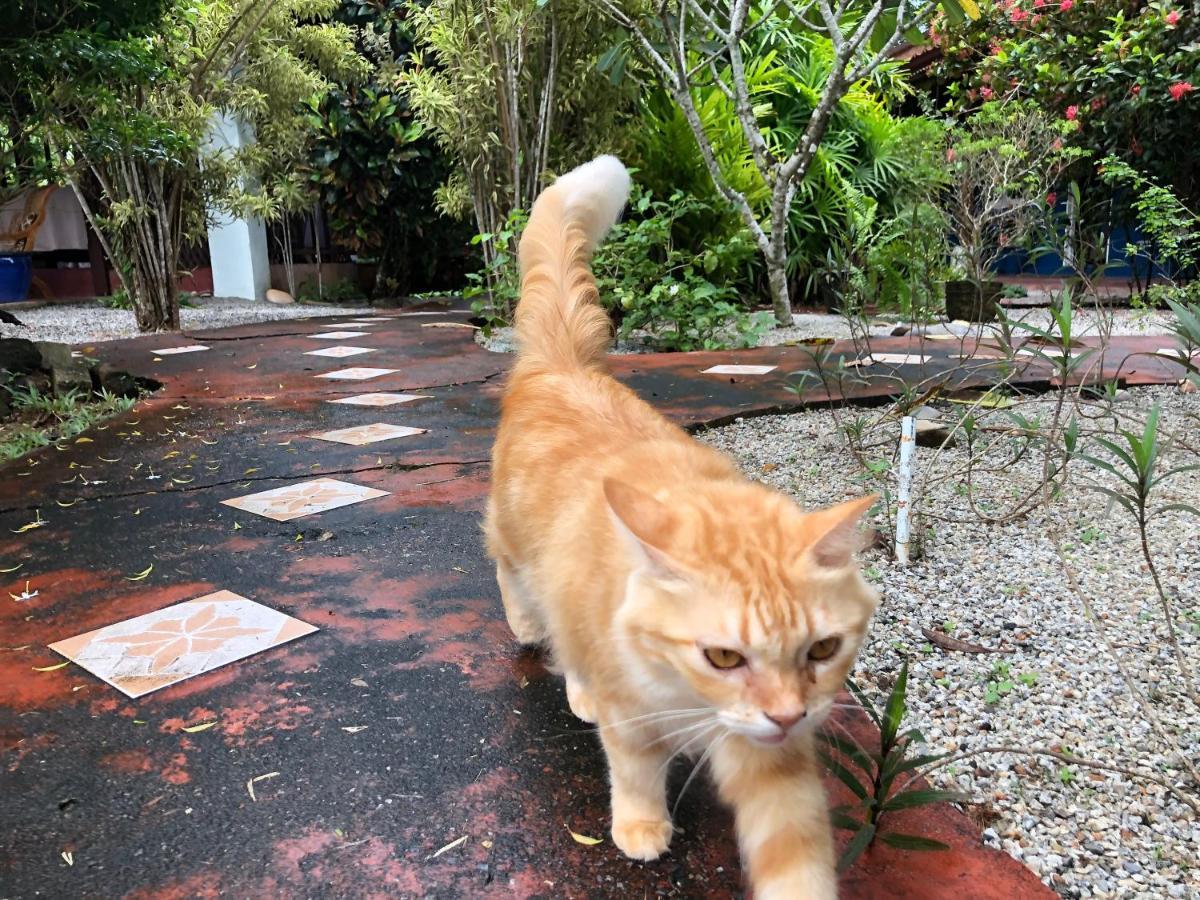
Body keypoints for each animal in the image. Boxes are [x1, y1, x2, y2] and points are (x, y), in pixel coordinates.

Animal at [482, 158, 878, 897]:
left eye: (821, 650)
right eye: (723, 656)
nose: (789, 714)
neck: (690, 699)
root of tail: (562, 364)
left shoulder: (771, 757)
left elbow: (795, 857)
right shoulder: (634, 720)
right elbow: (635, 775)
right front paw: (641, 828)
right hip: (519, 549)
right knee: (517, 586)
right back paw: (545, 648)